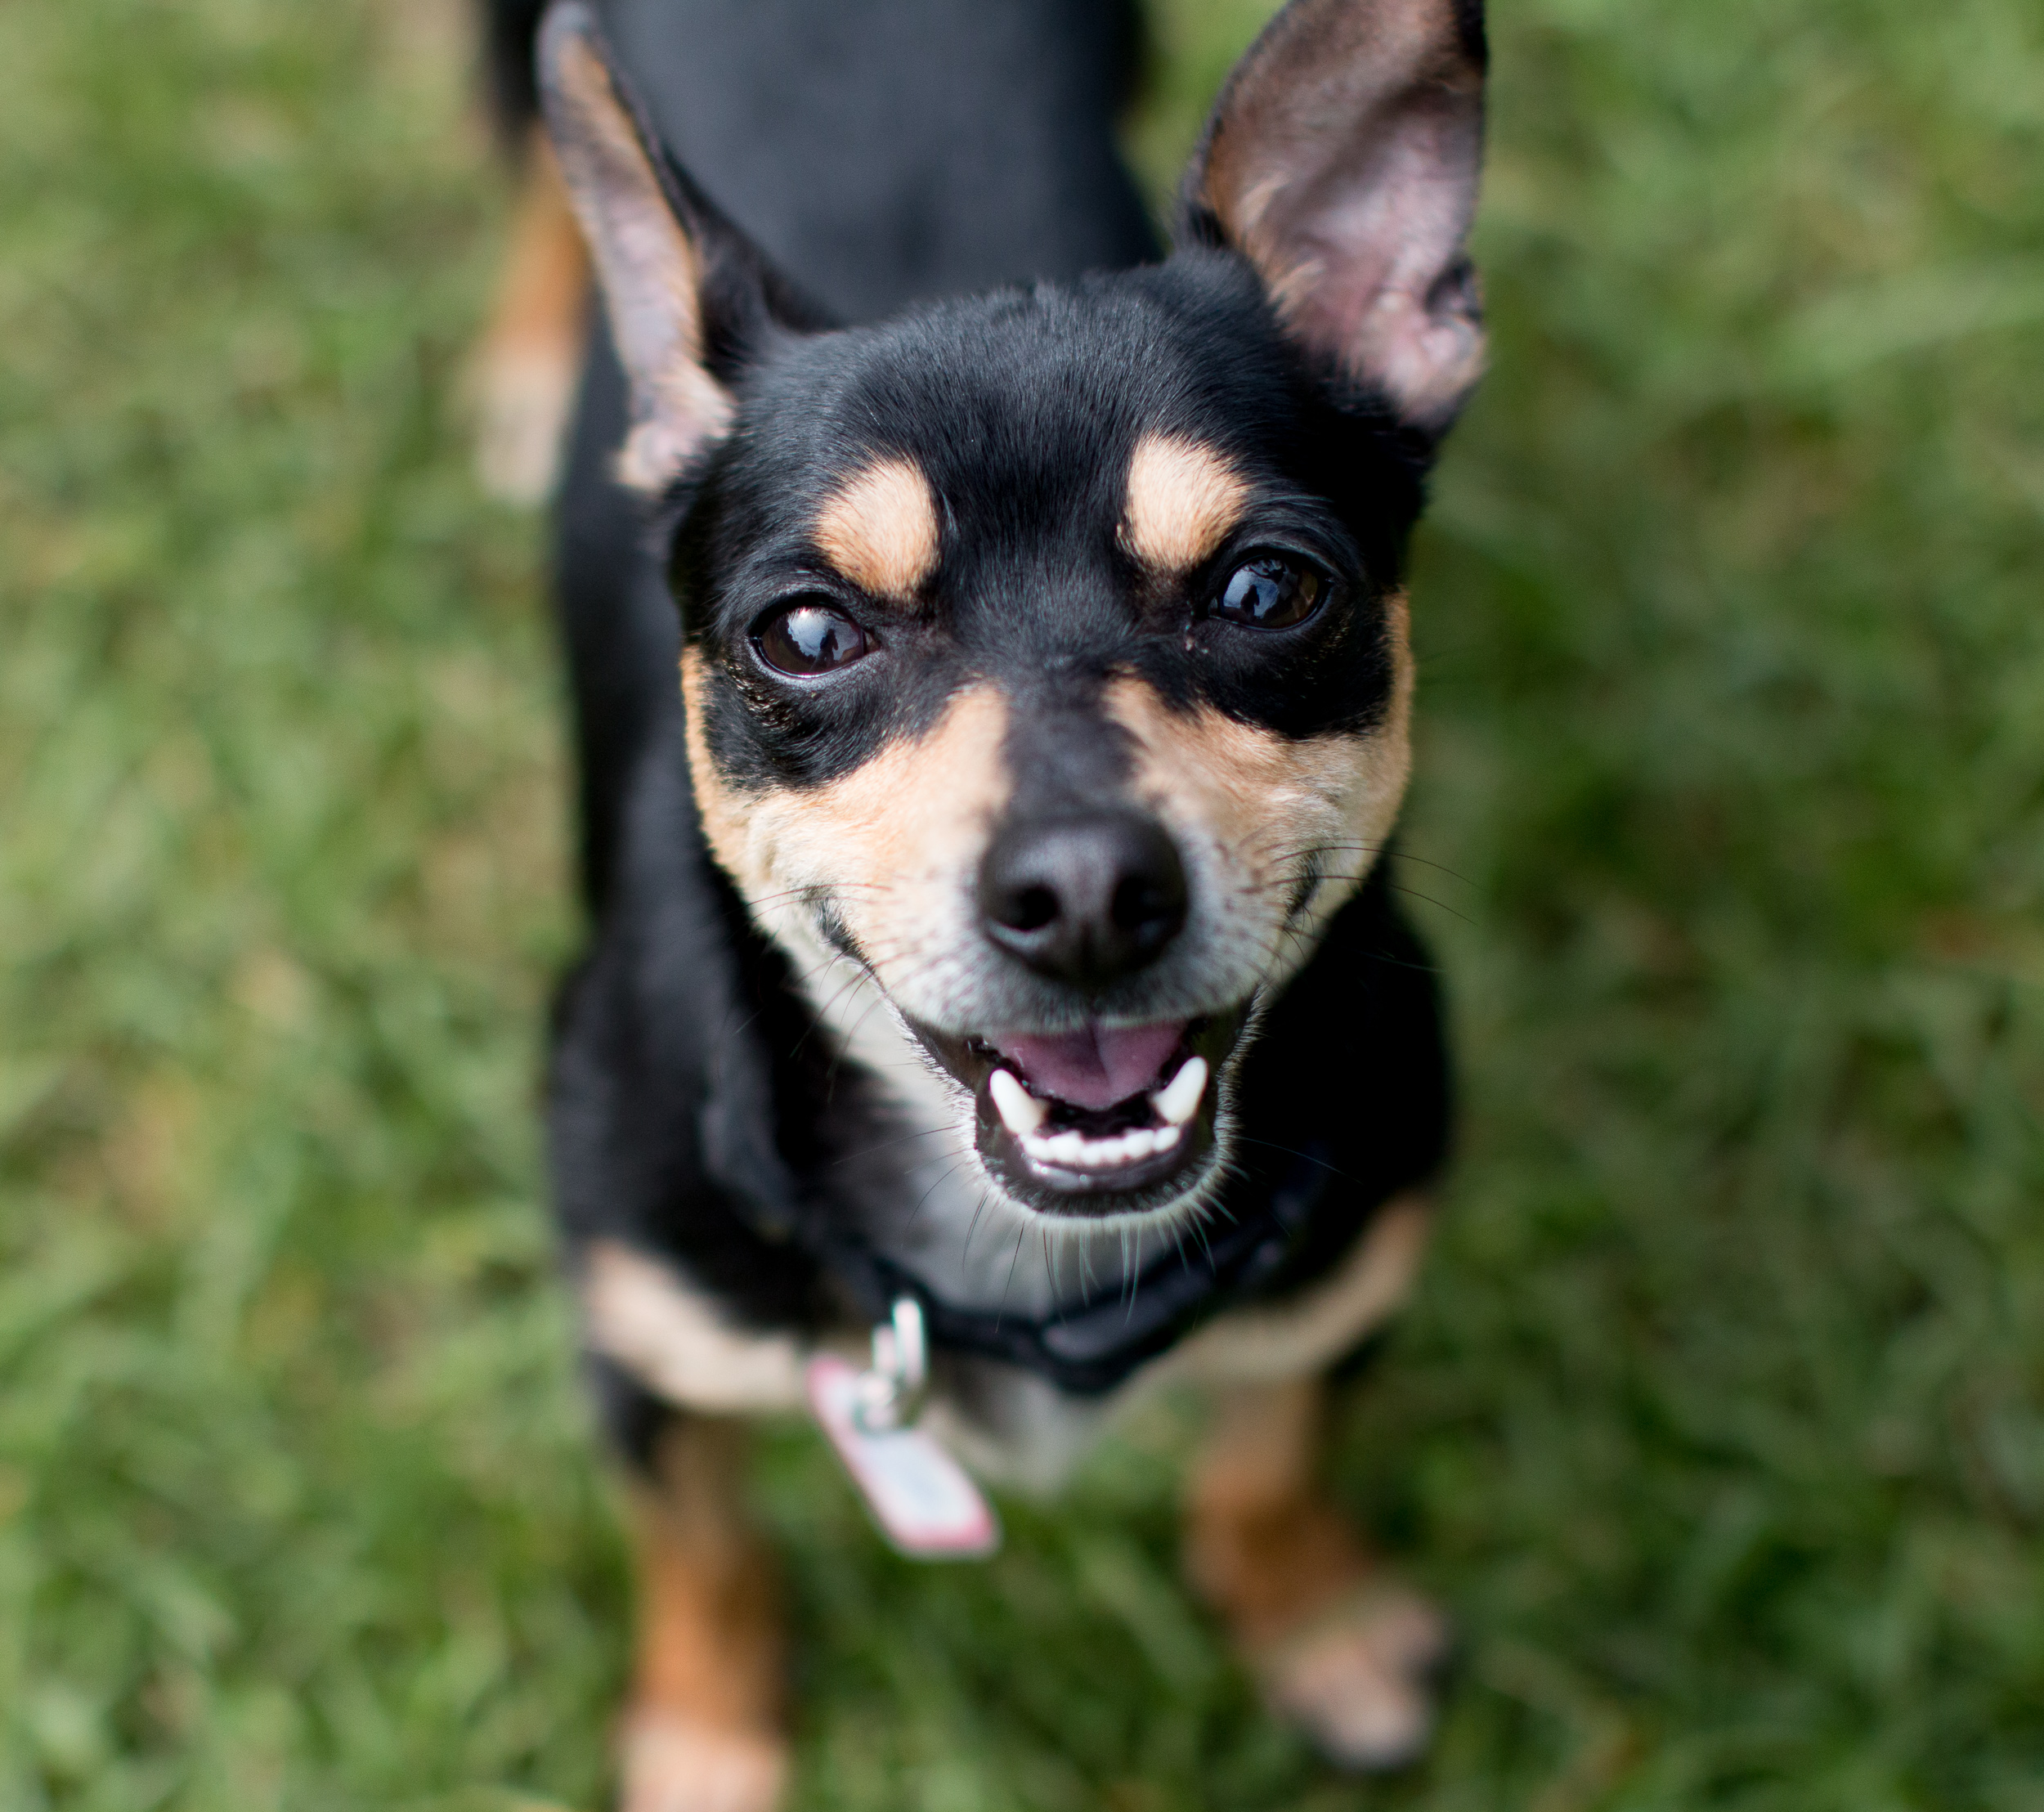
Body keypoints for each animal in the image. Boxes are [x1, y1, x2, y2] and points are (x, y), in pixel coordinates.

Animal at [509, 7, 1488, 1807]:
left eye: (1270, 590)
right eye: (806, 634)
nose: (1084, 887)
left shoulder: (1346, 1267)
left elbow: (1272, 1449)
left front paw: (1313, 1620)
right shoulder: (645, 1332)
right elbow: (703, 1552)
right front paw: (706, 1742)